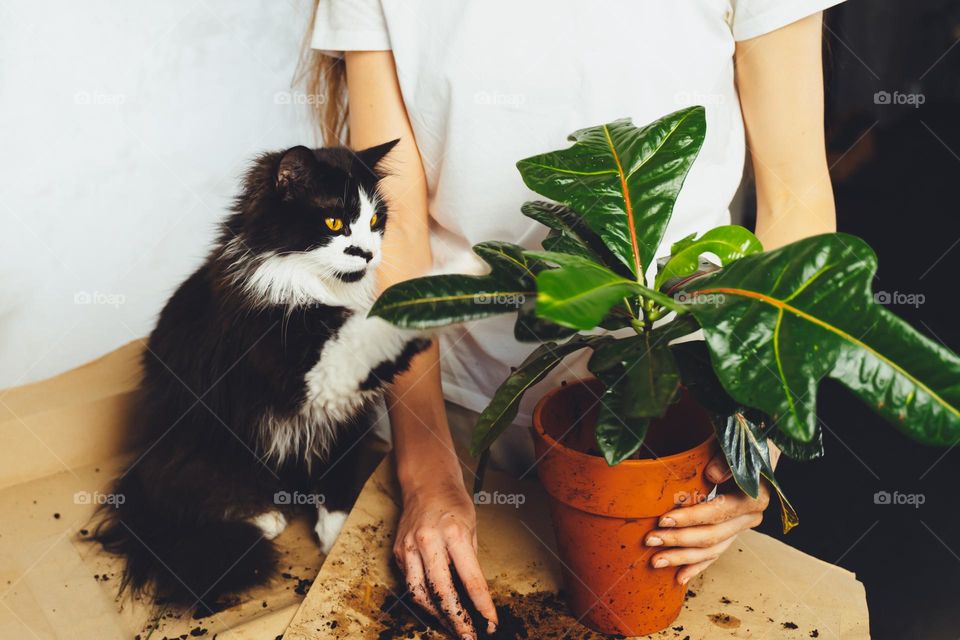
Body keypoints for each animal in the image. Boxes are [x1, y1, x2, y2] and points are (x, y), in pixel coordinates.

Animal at [92, 141, 430, 616]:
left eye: (375, 222)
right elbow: (361, 340)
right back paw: (265, 517)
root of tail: (138, 472)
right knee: (190, 495)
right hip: (205, 448)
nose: (366, 253)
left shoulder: (344, 419)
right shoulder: (302, 375)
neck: (315, 289)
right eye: (334, 222)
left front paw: (336, 534)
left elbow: (337, 471)